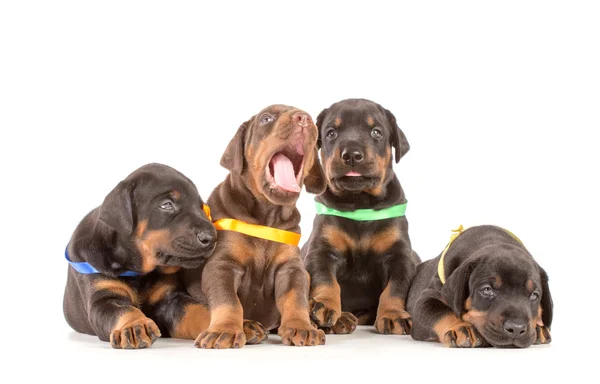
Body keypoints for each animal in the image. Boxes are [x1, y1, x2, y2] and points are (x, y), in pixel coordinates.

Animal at [62, 164, 220, 350]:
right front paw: (134, 325)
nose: (212, 238)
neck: (136, 271)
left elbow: (196, 309)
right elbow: (123, 310)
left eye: (201, 207)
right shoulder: (102, 298)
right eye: (166, 205)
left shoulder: (170, 299)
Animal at [184, 104, 328, 348]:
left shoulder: (291, 268)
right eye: (266, 119)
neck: (267, 217)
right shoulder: (222, 265)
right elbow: (228, 301)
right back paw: (249, 326)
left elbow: (296, 298)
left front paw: (301, 326)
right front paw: (225, 330)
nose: (304, 119)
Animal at [300, 97, 418, 334]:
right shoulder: (321, 251)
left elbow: (396, 288)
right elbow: (325, 279)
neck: (361, 202)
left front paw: (393, 314)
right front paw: (324, 305)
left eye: (376, 132)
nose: (352, 155)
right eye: (331, 133)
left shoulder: (400, 256)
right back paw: (342, 318)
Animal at [408, 225, 552, 348]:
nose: (516, 328)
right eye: (487, 290)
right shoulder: (428, 298)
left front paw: (539, 327)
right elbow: (441, 311)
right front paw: (461, 327)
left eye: (534, 295)